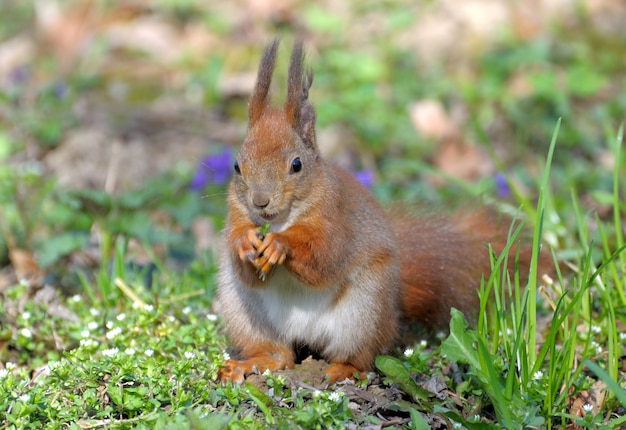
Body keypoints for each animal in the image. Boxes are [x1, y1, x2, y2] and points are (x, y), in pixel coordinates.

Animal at [216, 40, 536, 382]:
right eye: (236, 166)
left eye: (296, 165)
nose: (260, 202)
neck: (280, 221)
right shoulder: (236, 216)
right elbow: (246, 264)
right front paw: (245, 242)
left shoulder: (337, 219)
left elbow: (325, 257)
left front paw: (279, 245)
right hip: (243, 309)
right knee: (279, 354)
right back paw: (250, 362)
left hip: (364, 310)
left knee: (362, 355)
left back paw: (344, 368)